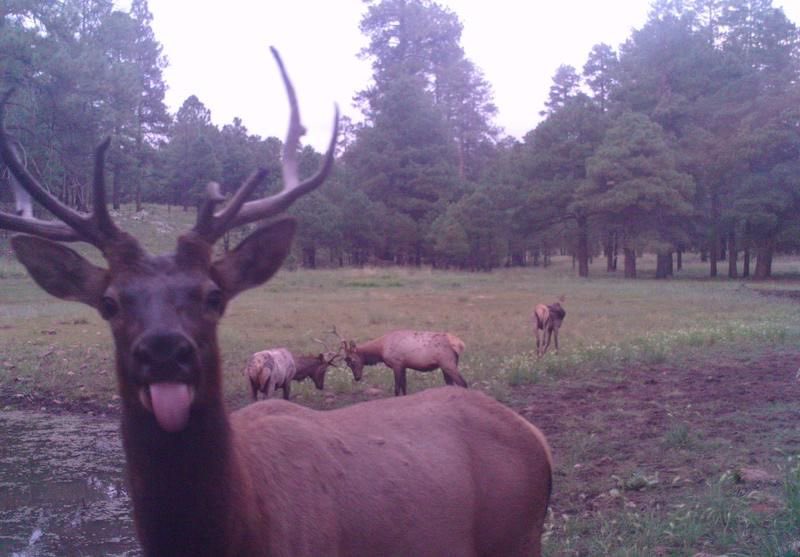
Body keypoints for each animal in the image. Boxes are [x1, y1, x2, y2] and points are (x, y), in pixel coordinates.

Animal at [339, 329, 469, 396]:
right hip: (445, 366)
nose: (357, 378)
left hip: (448, 364)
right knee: (451, 384)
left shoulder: (396, 364)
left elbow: (397, 388)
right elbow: (404, 387)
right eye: (347, 363)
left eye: (353, 361)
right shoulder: (404, 366)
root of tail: (460, 344)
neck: (381, 350)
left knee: (463, 383)